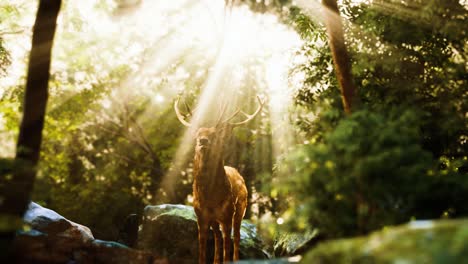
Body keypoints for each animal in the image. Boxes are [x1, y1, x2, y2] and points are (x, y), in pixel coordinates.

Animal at [175, 95, 264, 264]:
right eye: (196, 135)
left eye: (214, 135)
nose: (203, 141)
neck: (210, 199)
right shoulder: (200, 217)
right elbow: (202, 253)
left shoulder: (228, 214)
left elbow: (228, 248)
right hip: (216, 220)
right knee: (218, 237)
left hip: (241, 208)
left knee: (236, 238)